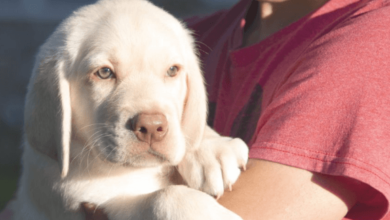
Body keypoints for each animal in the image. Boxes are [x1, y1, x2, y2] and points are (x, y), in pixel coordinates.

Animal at [13, 0, 248, 219]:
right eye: (104, 73)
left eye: (172, 70)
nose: (152, 127)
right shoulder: (92, 202)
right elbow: (163, 197)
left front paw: (211, 149)